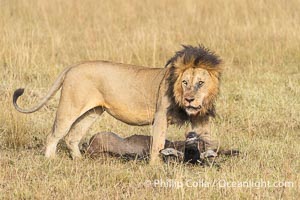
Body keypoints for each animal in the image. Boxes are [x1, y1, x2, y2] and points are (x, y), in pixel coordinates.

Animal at [12, 44, 221, 163]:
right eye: (185, 82)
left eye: (200, 83)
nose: (189, 99)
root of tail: (74, 66)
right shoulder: (160, 115)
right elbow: (158, 143)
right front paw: (155, 167)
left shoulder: (201, 119)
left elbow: (206, 139)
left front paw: (208, 160)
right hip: (69, 107)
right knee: (54, 135)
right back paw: (50, 160)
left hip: (92, 112)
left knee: (72, 137)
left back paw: (80, 161)